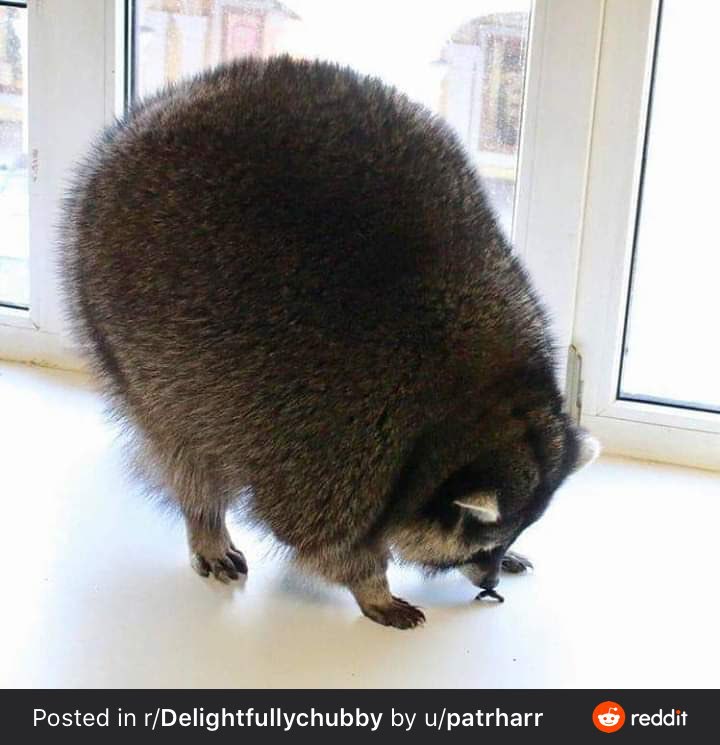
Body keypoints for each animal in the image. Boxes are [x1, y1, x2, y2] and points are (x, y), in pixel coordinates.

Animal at [61, 55, 599, 629]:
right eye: (480, 548)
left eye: (505, 541)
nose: (490, 579)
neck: (481, 407)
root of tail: (147, 115)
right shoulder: (332, 442)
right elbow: (319, 536)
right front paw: (372, 583)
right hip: (119, 320)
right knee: (182, 442)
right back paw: (205, 518)